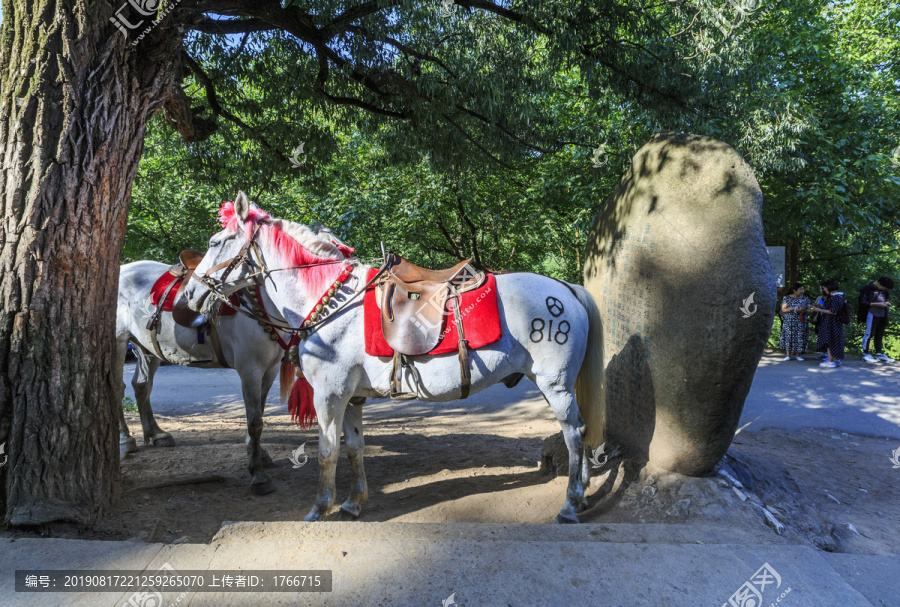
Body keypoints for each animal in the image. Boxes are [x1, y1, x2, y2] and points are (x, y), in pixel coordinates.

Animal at [183, 194, 604, 524]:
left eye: (216, 241)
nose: (189, 293)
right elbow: (354, 448)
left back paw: (570, 504)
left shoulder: (329, 395)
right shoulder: (352, 397)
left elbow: (326, 451)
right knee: (582, 430)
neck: (333, 300)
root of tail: (565, 288)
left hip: (554, 385)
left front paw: (321, 506)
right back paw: (582, 493)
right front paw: (353, 502)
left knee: (574, 433)